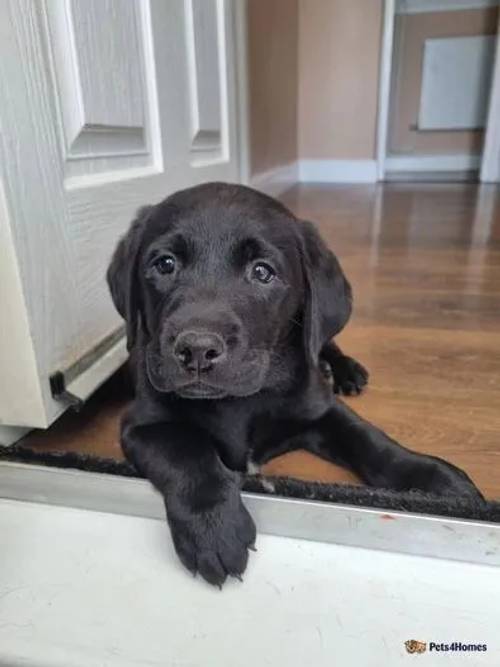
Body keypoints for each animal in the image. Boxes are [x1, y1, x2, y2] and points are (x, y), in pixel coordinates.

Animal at [107, 181, 482, 584]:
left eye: (262, 272)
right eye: (165, 264)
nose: (196, 349)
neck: (241, 402)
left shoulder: (319, 408)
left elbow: (372, 440)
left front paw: (435, 483)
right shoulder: (142, 424)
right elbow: (186, 451)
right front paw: (214, 528)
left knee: (323, 341)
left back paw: (345, 370)